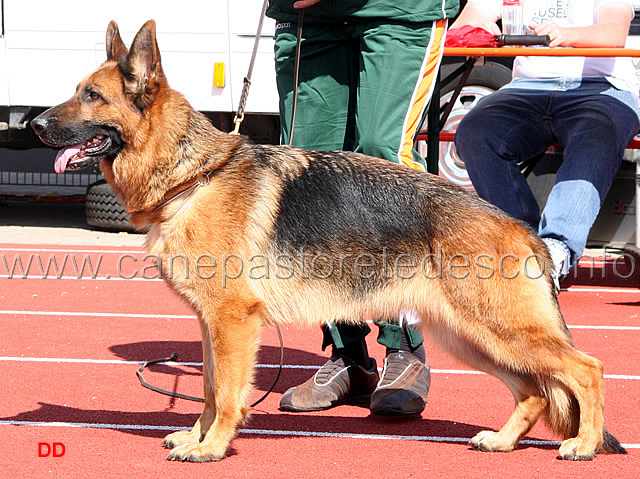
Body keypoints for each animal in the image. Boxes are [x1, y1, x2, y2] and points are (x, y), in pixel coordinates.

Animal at [31, 20, 624, 464]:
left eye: (91, 96)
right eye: (76, 90)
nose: (35, 125)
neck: (193, 176)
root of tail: (524, 229)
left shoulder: (232, 321)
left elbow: (226, 392)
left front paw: (214, 446)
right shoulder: (210, 323)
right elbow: (207, 387)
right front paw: (199, 436)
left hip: (500, 330)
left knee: (587, 370)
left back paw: (585, 444)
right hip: (472, 337)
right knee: (534, 390)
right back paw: (503, 440)